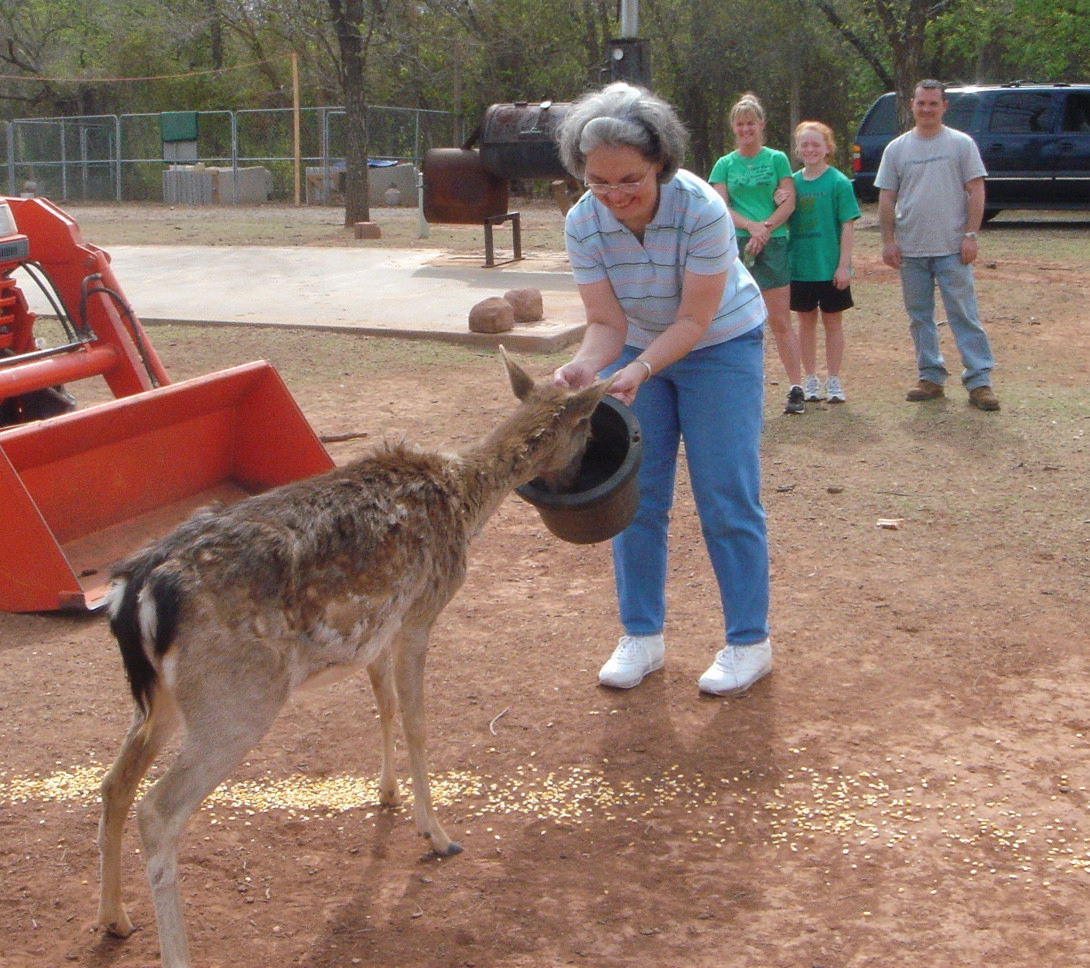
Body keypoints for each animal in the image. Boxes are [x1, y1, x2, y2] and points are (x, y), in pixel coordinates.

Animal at [95, 349, 615, 968]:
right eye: (587, 429)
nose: (580, 475)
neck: (465, 502)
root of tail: (139, 589)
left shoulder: (377, 631)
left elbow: (383, 705)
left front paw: (387, 795)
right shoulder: (421, 611)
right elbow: (417, 721)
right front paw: (437, 834)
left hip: (160, 699)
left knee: (113, 783)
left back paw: (113, 918)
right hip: (234, 699)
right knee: (159, 810)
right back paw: (173, 950)